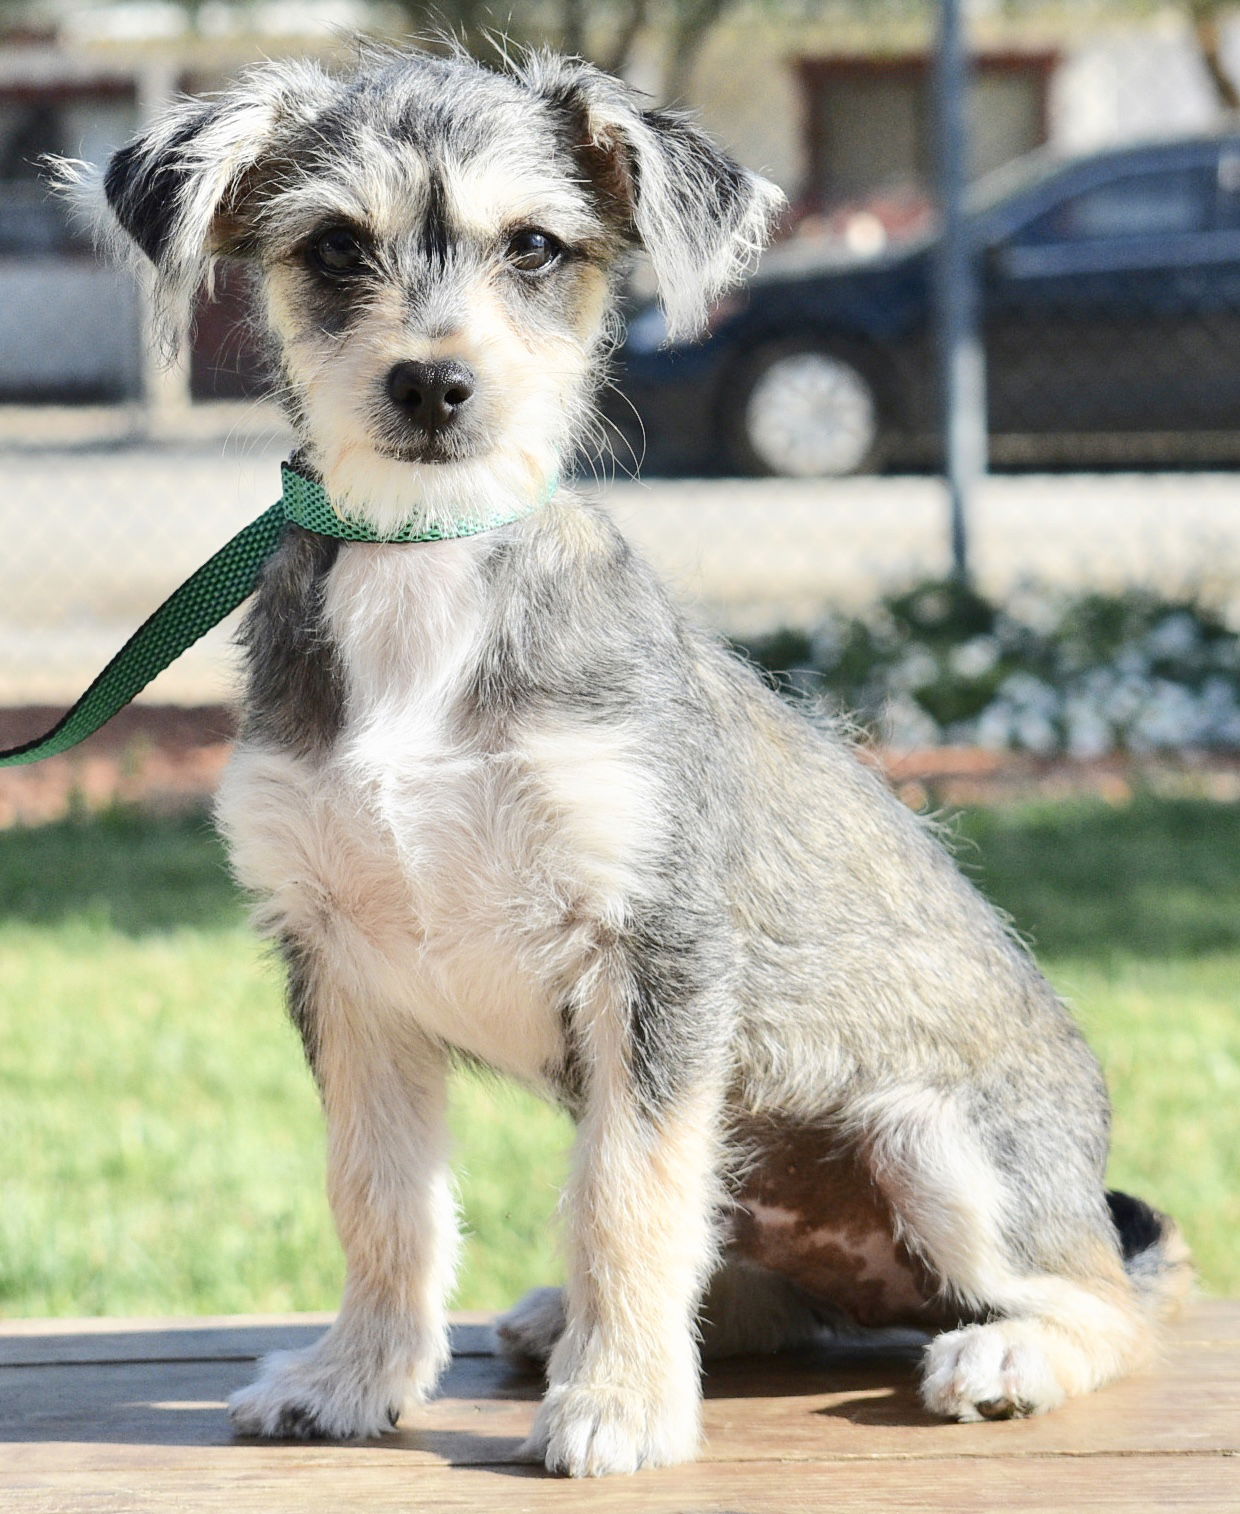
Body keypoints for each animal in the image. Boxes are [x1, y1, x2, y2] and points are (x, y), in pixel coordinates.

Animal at [87, 38, 1193, 1477]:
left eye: (536, 247)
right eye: (333, 246)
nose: (432, 385)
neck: (428, 580)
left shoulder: (651, 952)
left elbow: (626, 1191)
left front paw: (617, 1404)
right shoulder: (344, 965)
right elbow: (380, 1197)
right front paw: (355, 1376)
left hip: (941, 1146)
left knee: (1109, 1296)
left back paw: (1005, 1352)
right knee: (751, 1285)